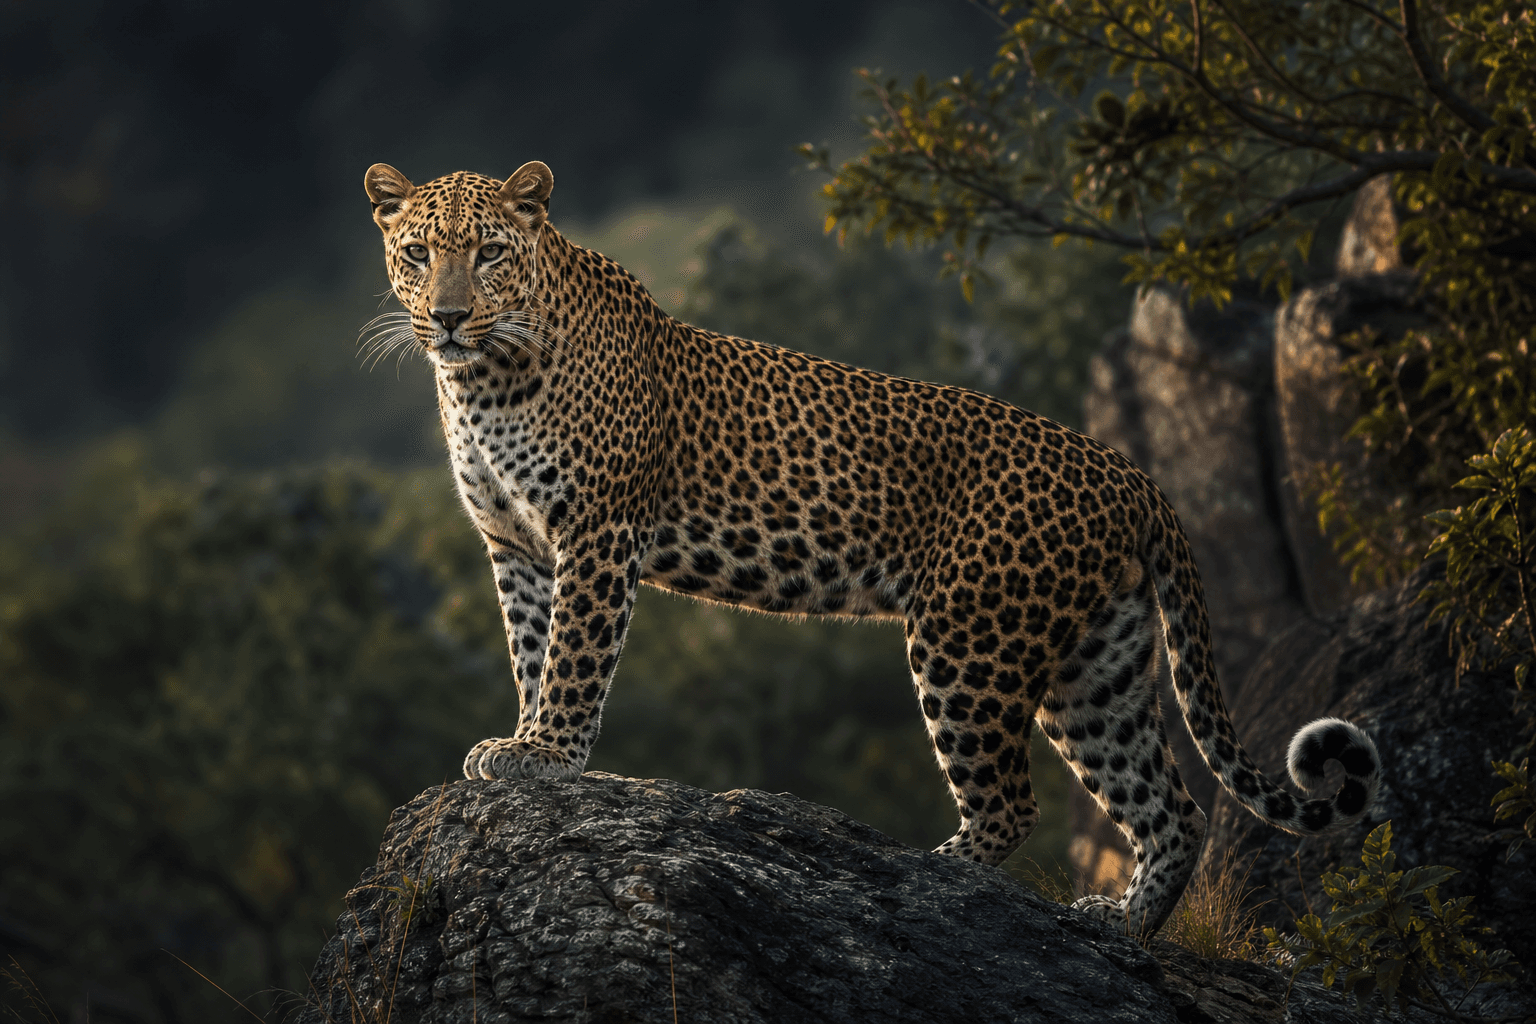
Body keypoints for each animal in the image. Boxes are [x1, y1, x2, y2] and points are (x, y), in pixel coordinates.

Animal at [362, 160, 1383, 936]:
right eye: (417, 255)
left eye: (489, 254)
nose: (447, 316)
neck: (484, 382)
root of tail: (1130, 475)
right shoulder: (517, 546)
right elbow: (532, 650)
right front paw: (522, 740)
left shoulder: (597, 533)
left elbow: (575, 658)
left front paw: (546, 755)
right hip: (1096, 665)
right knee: (1170, 804)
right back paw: (1121, 924)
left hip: (970, 639)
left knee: (1014, 801)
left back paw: (933, 874)